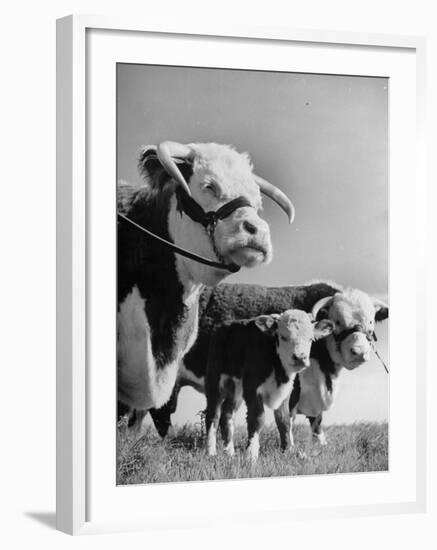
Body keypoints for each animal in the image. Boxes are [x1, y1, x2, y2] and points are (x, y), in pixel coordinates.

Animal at [204, 310, 334, 462]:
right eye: (283, 337)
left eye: (310, 339)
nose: (300, 358)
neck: (278, 370)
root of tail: (224, 325)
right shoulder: (252, 389)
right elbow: (257, 419)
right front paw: (251, 454)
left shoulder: (285, 392)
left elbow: (284, 420)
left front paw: (288, 450)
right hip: (215, 382)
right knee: (213, 414)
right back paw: (211, 451)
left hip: (236, 388)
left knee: (227, 413)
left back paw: (229, 452)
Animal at [274, 288, 390, 448]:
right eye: (338, 321)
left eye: (370, 321)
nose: (359, 352)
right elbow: (287, 416)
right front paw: (290, 448)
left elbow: (317, 420)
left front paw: (320, 445)